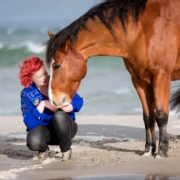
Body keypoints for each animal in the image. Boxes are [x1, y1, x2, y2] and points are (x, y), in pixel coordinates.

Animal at [45, 0, 180, 158]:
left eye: (57, 66)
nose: (53, 100)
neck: (142, 31)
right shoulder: (140, 81)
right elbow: (148, 117)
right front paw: (149, 149)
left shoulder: (161, 77)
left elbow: (161, 115)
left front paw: (162, 151)